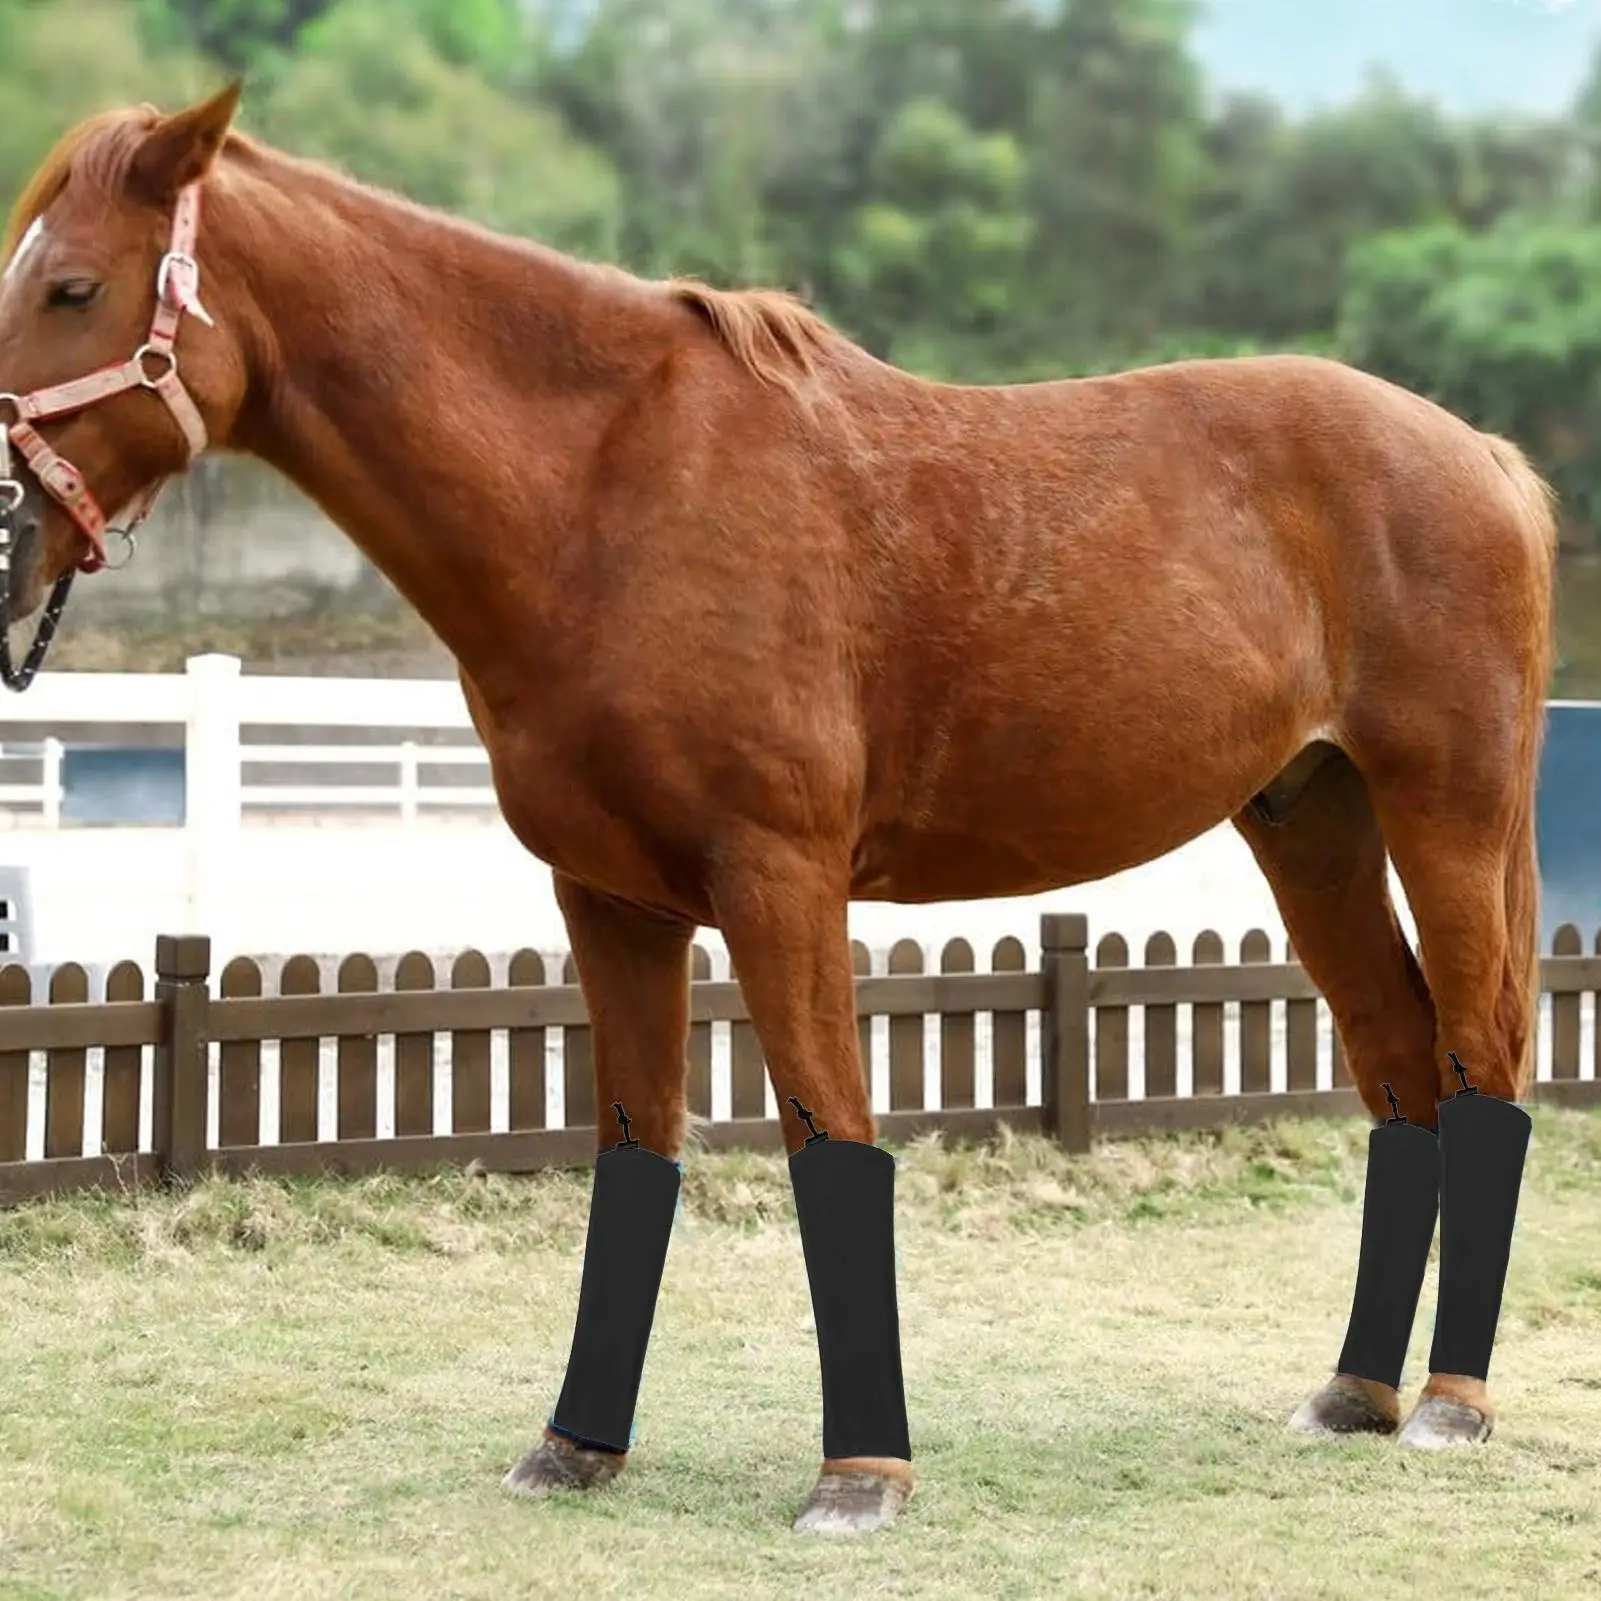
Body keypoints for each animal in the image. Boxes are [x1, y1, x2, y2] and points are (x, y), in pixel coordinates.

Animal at [0, 87, 1555, 1534]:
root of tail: (1482, 454)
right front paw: (575, 1446)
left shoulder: (780, 881)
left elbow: (832, 1144)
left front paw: (860, 1475)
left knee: (1481, 1064)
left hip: (1447, 816)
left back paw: (1450, 1404)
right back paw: (1354, 1392)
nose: (6, 534)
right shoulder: (609, 900)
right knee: (1401, 1073)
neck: (605, 500)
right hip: (1310, 826)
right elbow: (633, 1158)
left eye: (70, 286)